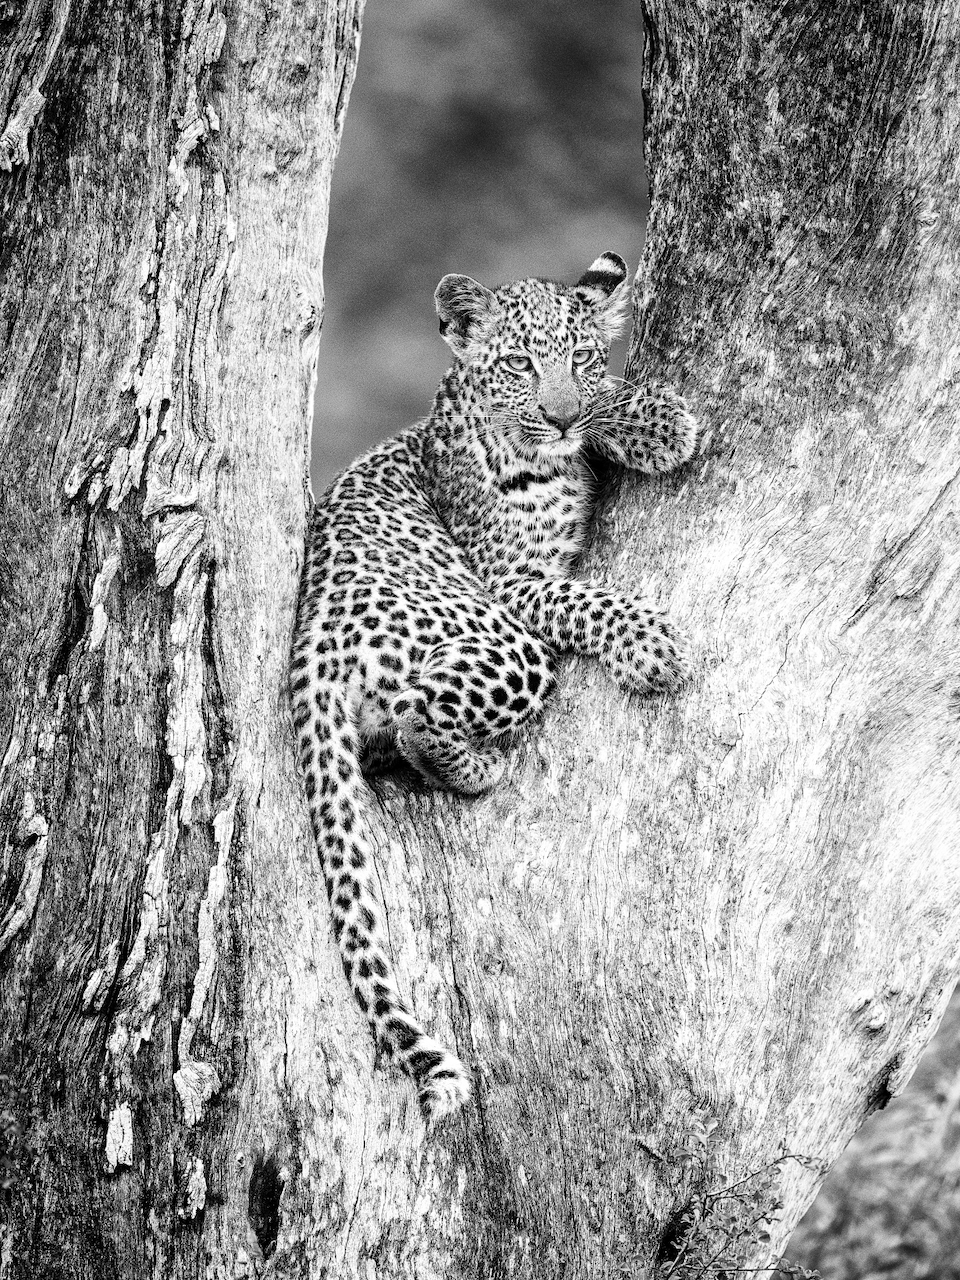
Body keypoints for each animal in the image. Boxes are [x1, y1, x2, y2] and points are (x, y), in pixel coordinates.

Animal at [289, 251, 700, 1124]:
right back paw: (477, 768)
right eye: (519, 366)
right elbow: (582, 598)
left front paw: (646, 421)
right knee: (419, 716)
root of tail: (310, 648)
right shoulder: (512, 582)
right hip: (501, 641)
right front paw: (653, 647)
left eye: (581, 361)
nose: (559, 418)